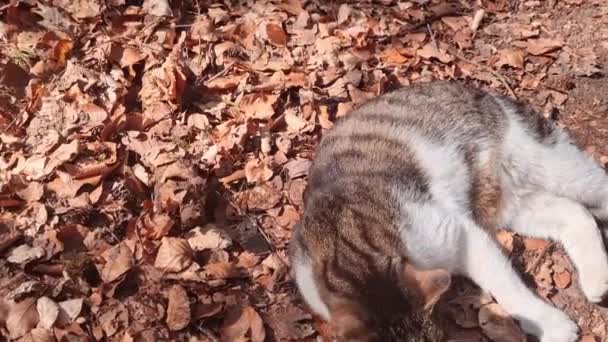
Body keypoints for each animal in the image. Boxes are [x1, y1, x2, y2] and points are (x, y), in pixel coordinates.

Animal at [288, 81, 608, 342]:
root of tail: (482, 91)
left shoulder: (459, 233)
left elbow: (505, 285)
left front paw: (550, 324)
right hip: (510, 203)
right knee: (574, 212)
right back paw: (597, 278)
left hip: (548, 163)